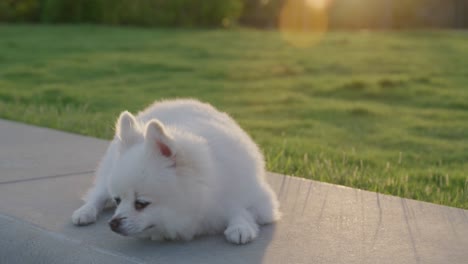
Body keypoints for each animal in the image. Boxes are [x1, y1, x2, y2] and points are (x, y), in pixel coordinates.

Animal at [71, 98, 280, 243]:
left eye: (141, 204)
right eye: (118, 200)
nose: (112, 223)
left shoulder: (262, 203)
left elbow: (242, 208)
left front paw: (240, 225)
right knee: (97, 194)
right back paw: (86, 211)